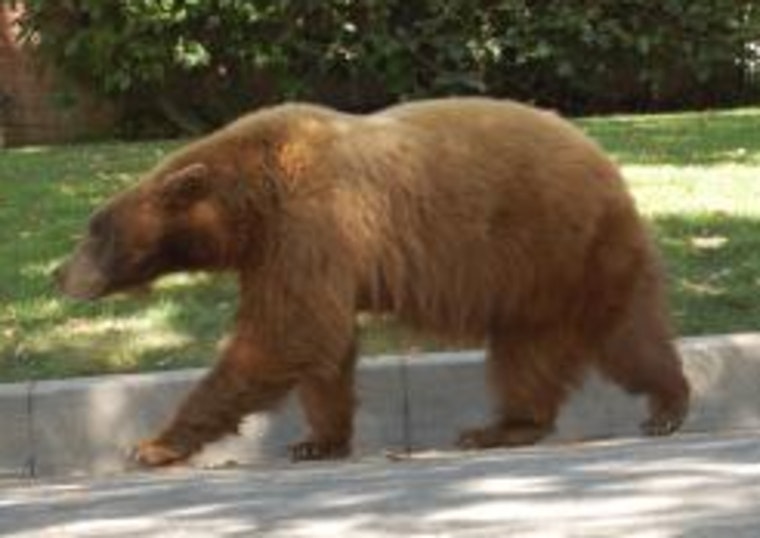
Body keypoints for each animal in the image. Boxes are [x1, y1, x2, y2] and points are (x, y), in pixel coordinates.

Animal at [54, 97, 690, 466]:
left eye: (95, 232)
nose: (61, 274)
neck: (249, 200)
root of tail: (606, 161)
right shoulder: (286, 249)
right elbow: (322, 348)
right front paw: (318, 439)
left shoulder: (310, 221)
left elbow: (286, 333)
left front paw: (152, 444)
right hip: (534, 276)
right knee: (527, 352)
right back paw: (502, 427)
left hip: (564, 243)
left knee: (622, 333)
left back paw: (667, 406)